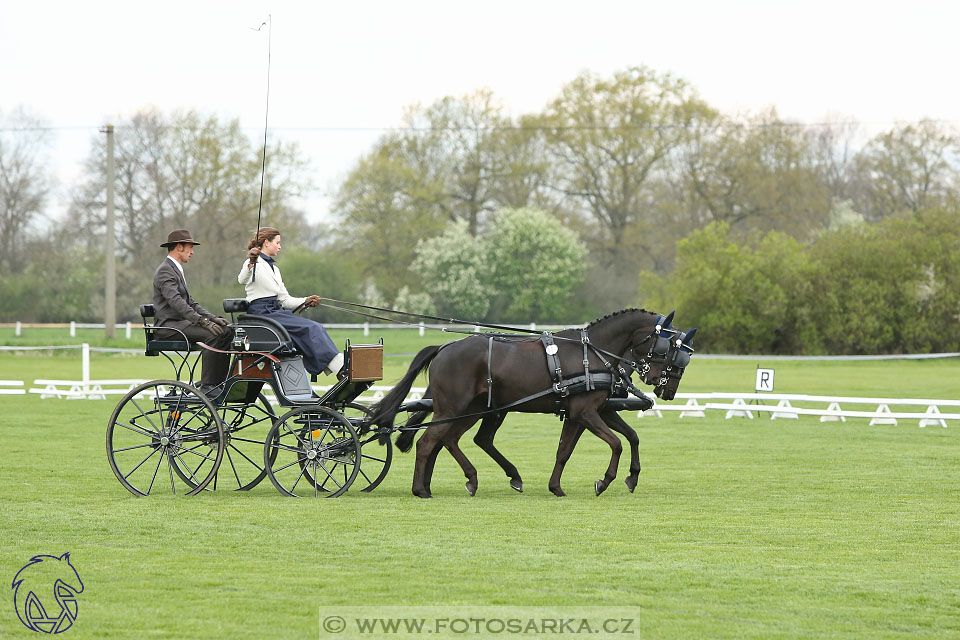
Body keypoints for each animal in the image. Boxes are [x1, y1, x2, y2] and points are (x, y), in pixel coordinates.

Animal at [372, 308, 692, 498]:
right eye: (665, 347)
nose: (665, 389)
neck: (592, 353)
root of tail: (443, 348)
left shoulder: (591, 411)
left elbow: (574, 449)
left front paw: (559, 486)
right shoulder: (585, 412)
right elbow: (616, 443)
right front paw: (604, 481)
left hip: (475, 409)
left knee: (451, 440)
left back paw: (475, 479)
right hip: (454, 408)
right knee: (429, 442)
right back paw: (421, 489)